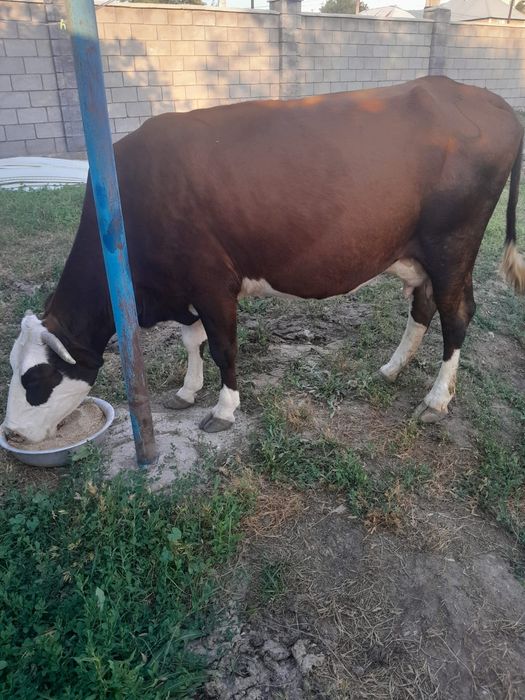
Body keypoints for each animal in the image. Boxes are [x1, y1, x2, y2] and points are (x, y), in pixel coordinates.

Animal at [3, 76, 525, 444]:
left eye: (38, 378)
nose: (12, 433)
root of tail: (484, 98)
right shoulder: (184, 286)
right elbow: (191, 342)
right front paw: (187, 392)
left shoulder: (213, 282)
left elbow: (222, 347)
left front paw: (223, 410)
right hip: (419, 254)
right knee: (424, 307)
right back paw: (391, 369)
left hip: (453, 245)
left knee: (457, 315)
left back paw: (436, 401)